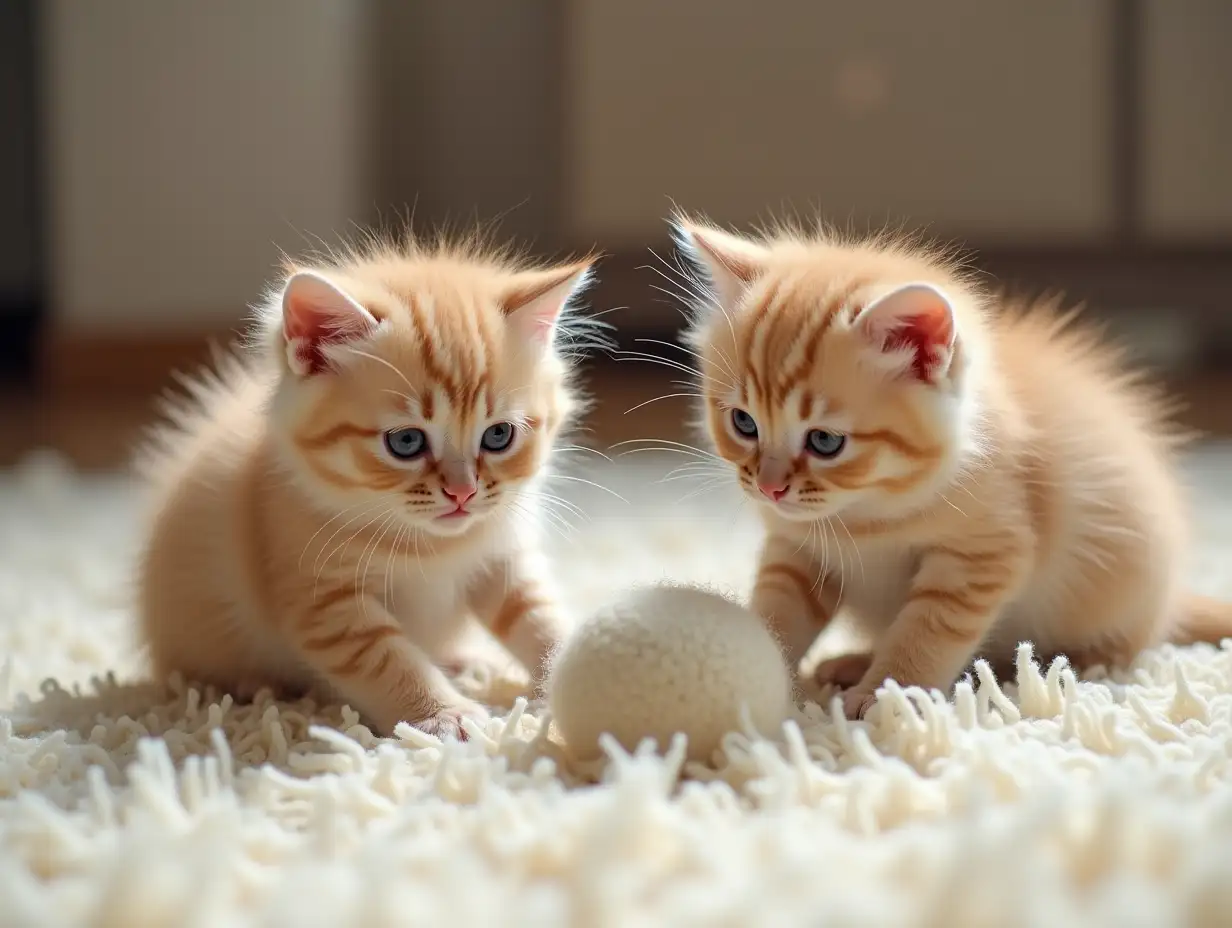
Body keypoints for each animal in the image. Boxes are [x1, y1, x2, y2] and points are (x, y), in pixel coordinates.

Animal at [134, 232, 596, 739]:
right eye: (406, 442)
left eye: (498, 436)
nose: (463, 493)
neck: (433, 547)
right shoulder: (325, 603)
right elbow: (388, 659)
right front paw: (445, 715)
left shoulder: (502, 556)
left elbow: (538, 615)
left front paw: (573, 666)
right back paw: (253, 686)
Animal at [675, 215, 1232, 714]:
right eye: (744, 423)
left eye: (825, 441)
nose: (768, 488)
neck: (867, 514)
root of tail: (1168, 603)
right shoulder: (797, 548)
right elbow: (779, 608)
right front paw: (764, 664)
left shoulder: (984, 554)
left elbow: (927, 630)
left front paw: (889, 695)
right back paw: (852, 662)